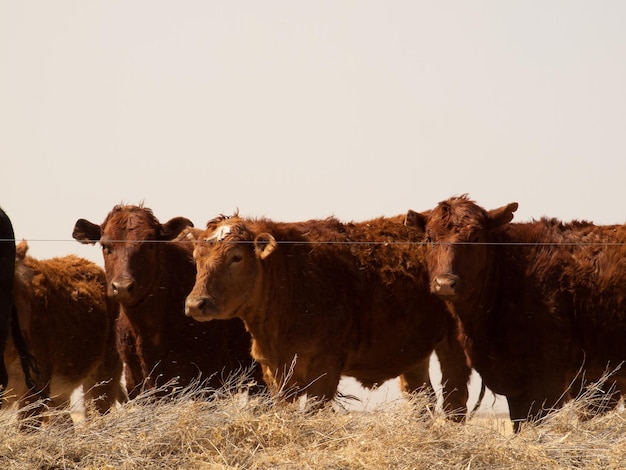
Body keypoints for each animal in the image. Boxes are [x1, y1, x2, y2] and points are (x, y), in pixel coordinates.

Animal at [185, 213, 472, 418]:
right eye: (197, 256)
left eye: (236, 257)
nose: (196, 304)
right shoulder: (276, 372)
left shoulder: (324, 370)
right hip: (413, 355)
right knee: (422, 400)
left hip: (454, 343)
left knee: (454, 402)